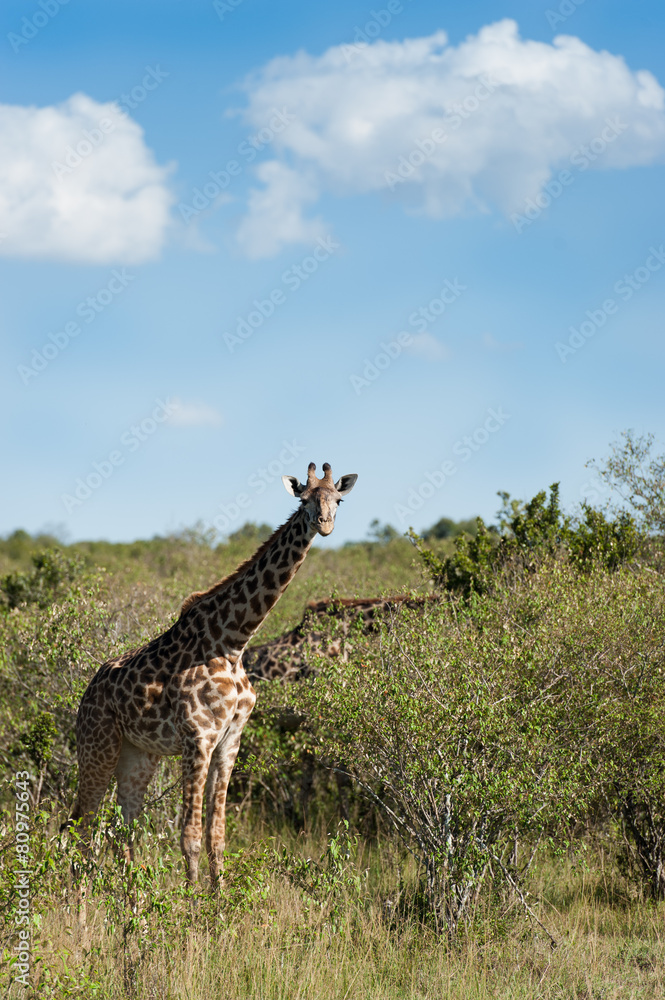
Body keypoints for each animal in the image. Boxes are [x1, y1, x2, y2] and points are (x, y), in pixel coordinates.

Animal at [66, 462, 357, 889]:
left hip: (138, 754)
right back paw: (81, 902)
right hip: (97, 747)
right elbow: (189, 835)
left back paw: (130, 901)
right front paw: (192, 904)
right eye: (303, 500)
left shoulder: (230, 740)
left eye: (338, 499)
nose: (324, 524)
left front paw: (218, 901)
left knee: (122, 828)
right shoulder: (197, 738)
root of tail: (86, 693)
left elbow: (216, 834)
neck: (233, 641)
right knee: (79, 826)